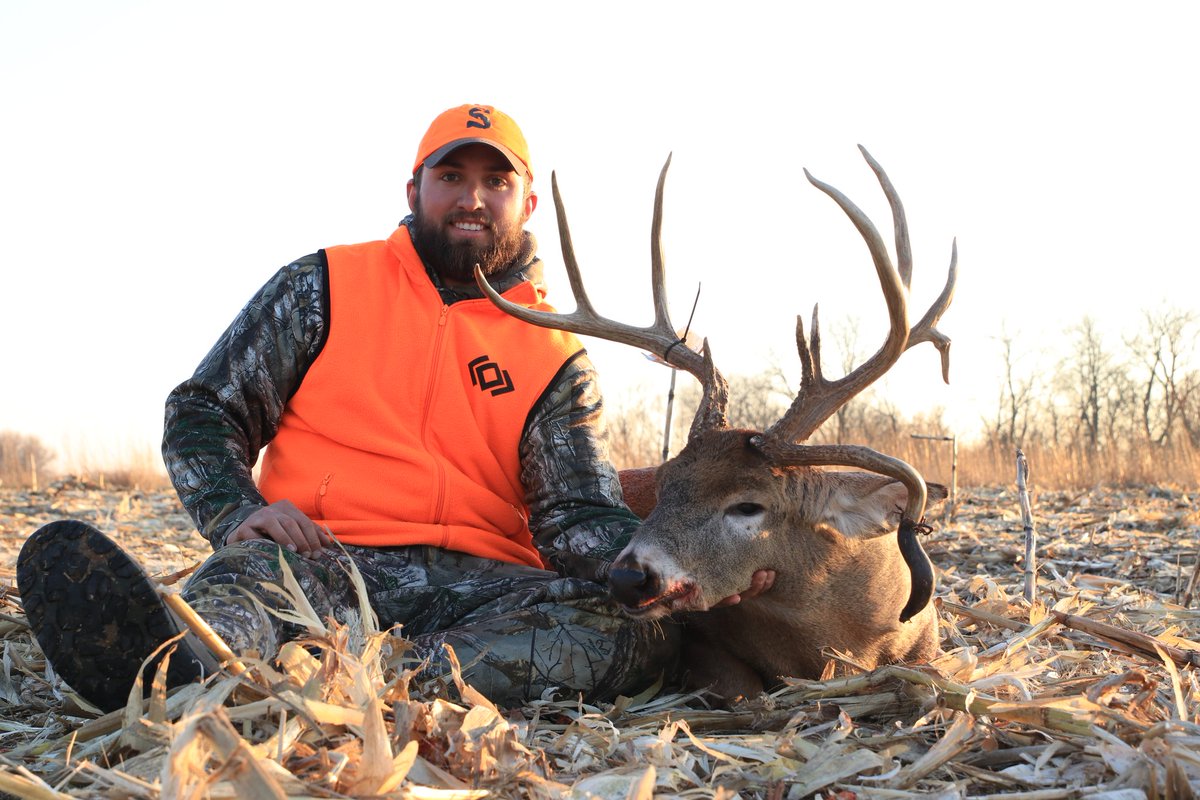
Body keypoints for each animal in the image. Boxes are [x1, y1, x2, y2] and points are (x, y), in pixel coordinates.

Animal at [476, 146, 957, 703]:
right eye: (663, 484)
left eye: (749, 505)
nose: (629, 578)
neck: (849, 633)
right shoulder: (705, 647)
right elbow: (743, 689)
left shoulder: (929, 643)